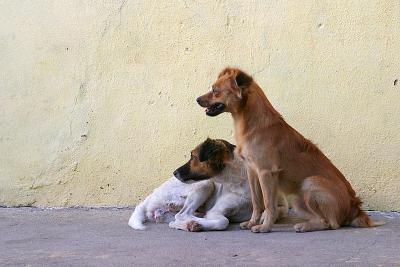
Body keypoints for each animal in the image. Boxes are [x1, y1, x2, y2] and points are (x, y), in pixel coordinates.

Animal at [198, 68, 384, 233]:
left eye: (215, 91)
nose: (196, 99)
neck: (252, 124)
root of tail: (355, 207)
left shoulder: (266, 173)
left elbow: (268, 204)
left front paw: (265, 227)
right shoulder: (252, 171)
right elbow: (257, 203)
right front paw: (252, 222)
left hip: (310, 183)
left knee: (332, 223)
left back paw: (306, 227)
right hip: (297, 198)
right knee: (323, 220)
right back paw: (304, 225)